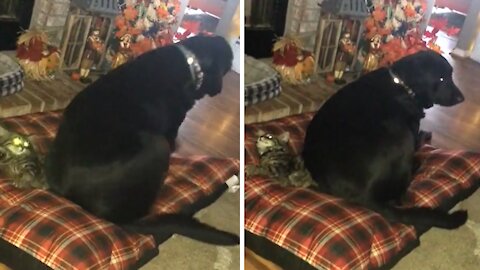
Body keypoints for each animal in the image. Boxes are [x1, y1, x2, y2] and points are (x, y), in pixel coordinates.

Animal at [304, 50, 464, 228]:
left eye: (451, 75)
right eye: (442, 79)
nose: (461, 98)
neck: (403, 84)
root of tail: (364, 196)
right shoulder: (412, 132)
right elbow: (419, 140)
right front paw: (424, 137)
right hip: (401, 136)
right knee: (401, 194)